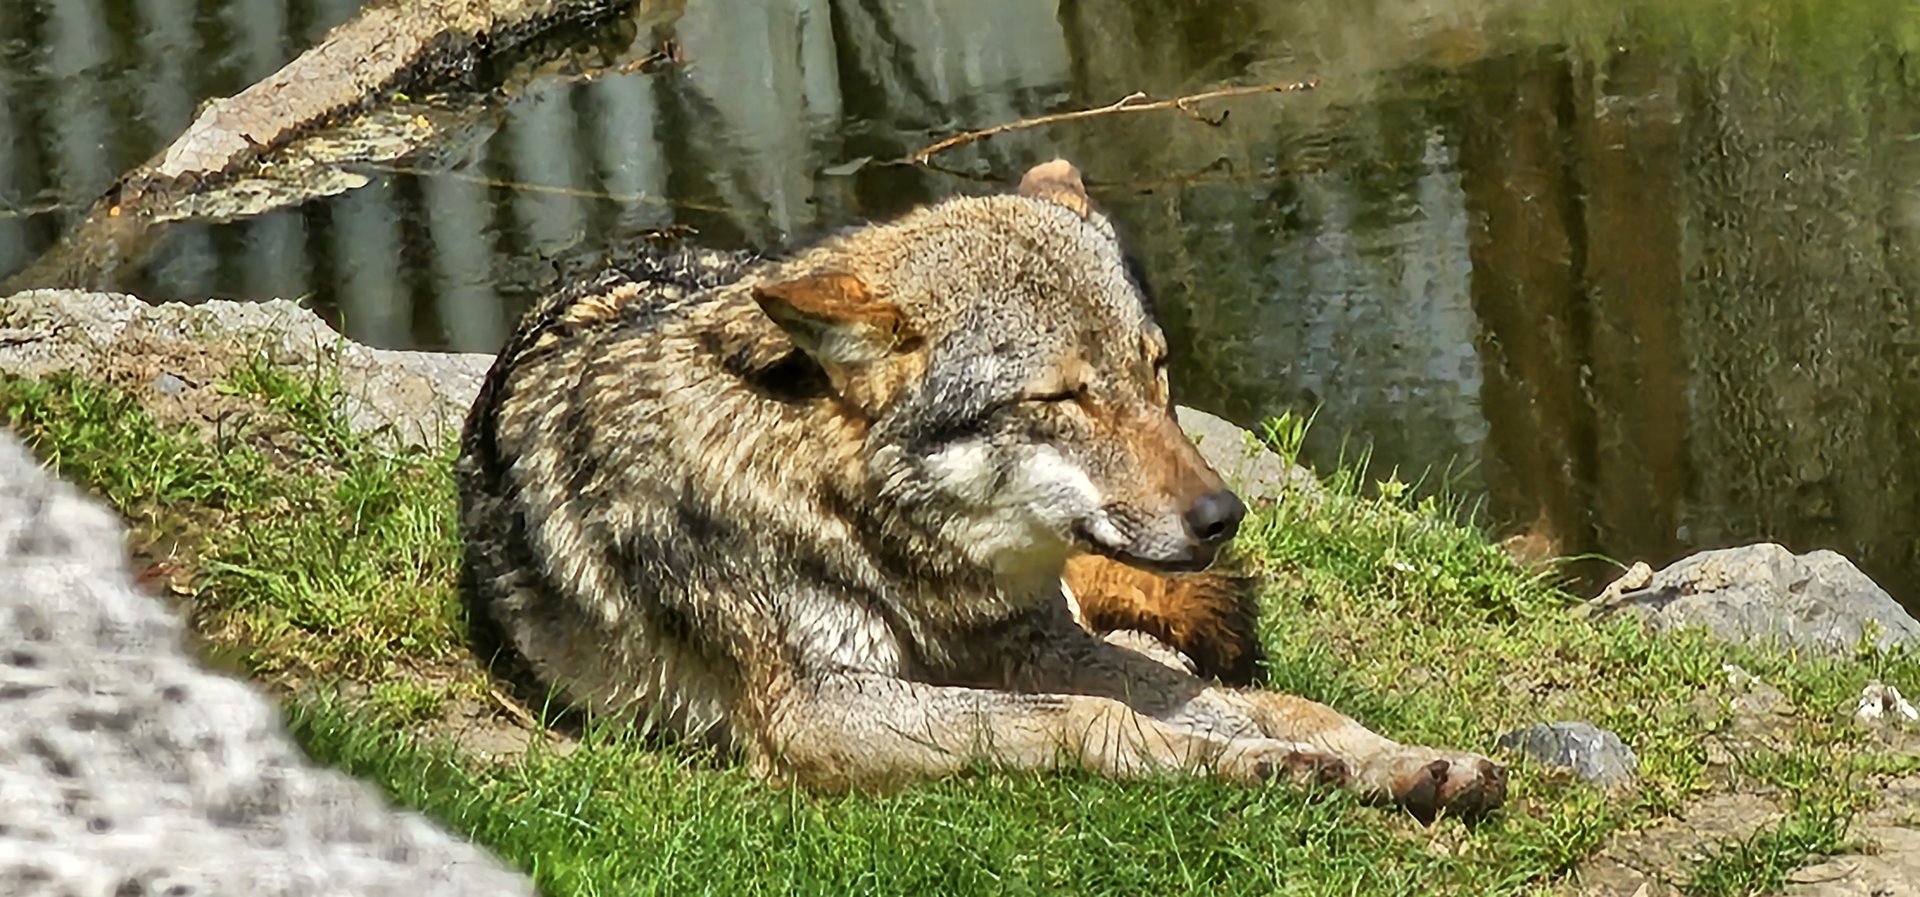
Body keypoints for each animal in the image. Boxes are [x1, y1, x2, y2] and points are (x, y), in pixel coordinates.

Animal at [456, 159, 1505, 821]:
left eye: (1156, 370)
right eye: (1065, 397)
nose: (1224, 517)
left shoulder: (1036, 644)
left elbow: (1235, 705)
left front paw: (1374, 759)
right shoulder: (812, 711)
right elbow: (1097, 719)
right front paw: (1256, 768)